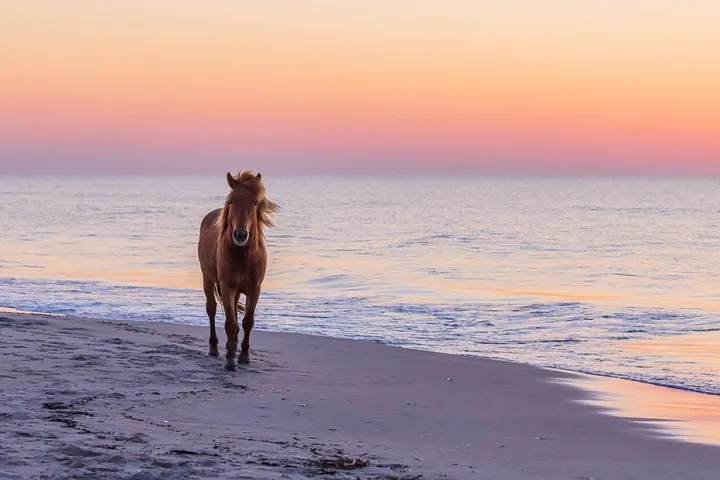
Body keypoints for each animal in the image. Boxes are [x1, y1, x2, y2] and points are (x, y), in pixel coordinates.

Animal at [197, 171, 279, 371]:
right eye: (232, 201)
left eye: (255, 202)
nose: (240, 235)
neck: (243, 256)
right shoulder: (227, 287)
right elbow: (230, 322)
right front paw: (229, 360)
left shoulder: (254, 289)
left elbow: (247, 321)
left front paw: (243, 355)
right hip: (207, 279)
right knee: (212, 309)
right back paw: (215, 347)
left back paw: (232, 345)